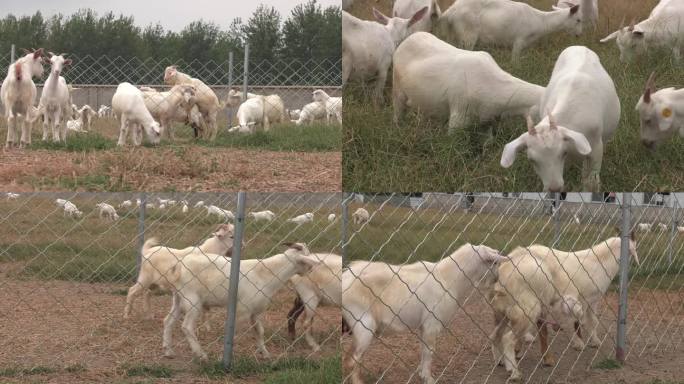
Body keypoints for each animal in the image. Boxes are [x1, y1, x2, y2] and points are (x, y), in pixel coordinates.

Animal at [344, 244, 504, 382]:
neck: (446, 277)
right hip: (363, 323)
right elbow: (429, 351)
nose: (498, 278)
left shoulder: (424, 326)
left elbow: (423, 349)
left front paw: (421, 372)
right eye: (494, 262)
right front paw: (428, 378)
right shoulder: (432, 323)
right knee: (352, 360)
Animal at [438, 0, 584, 60]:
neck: (540, 20)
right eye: (578, 20)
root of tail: (451, 11)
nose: (579, 35)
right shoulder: (519, 41)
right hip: (468, 35)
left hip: (452, 34)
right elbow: (515, 62)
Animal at [496, 45, 620, 192]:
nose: (554, 188)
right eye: (532, 160)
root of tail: (579, 46)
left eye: (563, 153)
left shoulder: (595, 148)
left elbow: (591, 183)